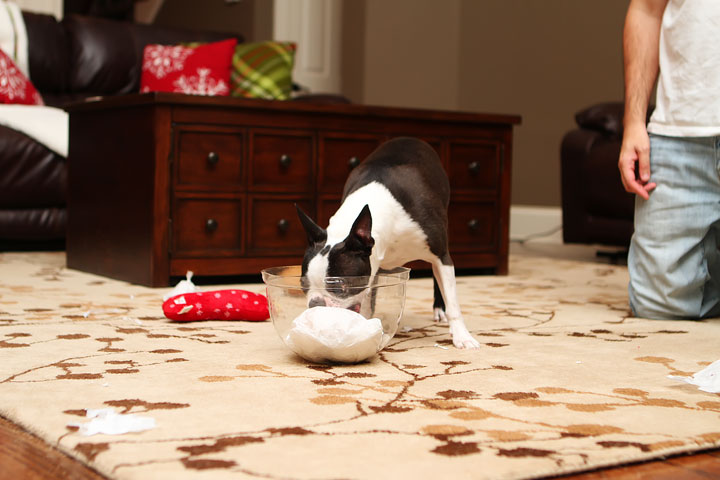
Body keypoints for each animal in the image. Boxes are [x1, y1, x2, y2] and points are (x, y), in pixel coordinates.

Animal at [296, 135, 480, 348]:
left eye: (340, 286)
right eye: (303, 284)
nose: (315, 304)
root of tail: (410, 138)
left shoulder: (441, 255)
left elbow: (453, 303)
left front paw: (462, 336)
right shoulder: (372, 268)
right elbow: (367, 303)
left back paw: (439, 310)